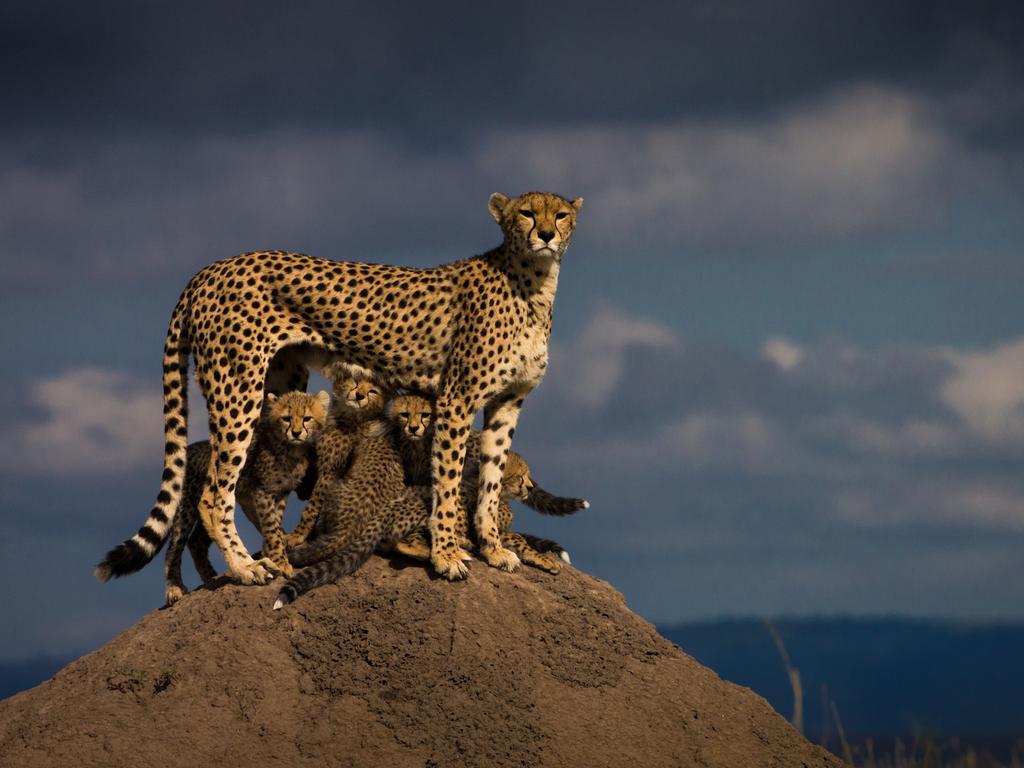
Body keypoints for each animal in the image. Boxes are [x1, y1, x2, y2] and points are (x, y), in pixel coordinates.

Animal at [145, 191, 581, 581]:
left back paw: (277, 552)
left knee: (258, 483)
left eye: (560, 214)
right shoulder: (457, 398)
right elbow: (448, 480)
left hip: (282, 383)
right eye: (526, 213)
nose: (545, 234)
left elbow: (491, 477)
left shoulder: (506, 403)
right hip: (237, 388)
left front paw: (493, 548)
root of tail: (209, 269)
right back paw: (244, 567)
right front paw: (446, 556)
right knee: (215, 492)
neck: (534, 282)